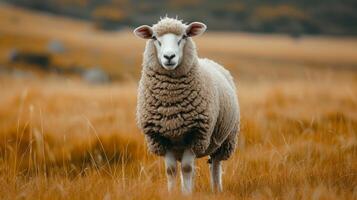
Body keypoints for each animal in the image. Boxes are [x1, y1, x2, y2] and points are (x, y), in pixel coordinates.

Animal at [134, 17, 239, 194]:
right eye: (154, 38)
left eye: (183, 36)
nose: (169, 56)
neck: (171, 104)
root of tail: (208, 60)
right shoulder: (161, 137)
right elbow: (171, 170)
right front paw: (172, 193)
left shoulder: (196, 134)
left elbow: (187, 168)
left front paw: (187, 194)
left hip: (225, 141)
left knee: (215, 165)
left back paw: (216, 189)